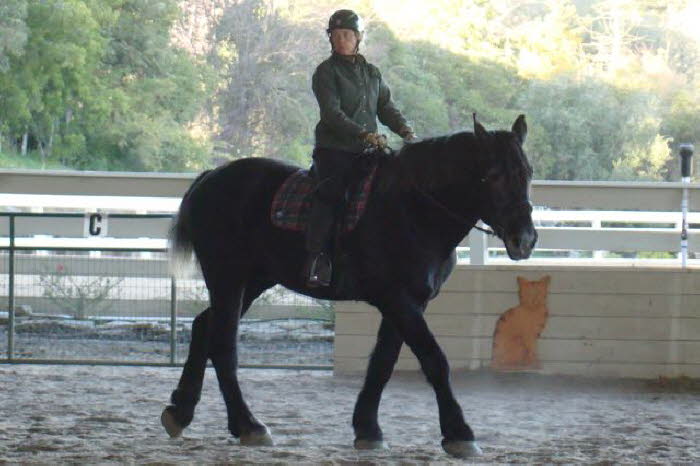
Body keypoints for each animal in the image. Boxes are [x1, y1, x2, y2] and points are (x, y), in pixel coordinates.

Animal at [163, 114, 536, 456]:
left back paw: (180, 412)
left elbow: (382, 363)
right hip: (228, 277)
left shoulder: (409, 302)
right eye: (493, 175)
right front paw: (460, 433)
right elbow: (434, 360)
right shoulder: (398, 300)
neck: (414, 211)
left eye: (528, 173)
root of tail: (209, 177)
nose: (525, 240)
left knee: (203, 327)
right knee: (223, 345)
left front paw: (368, 428)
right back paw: (248, 425)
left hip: (253, 281)